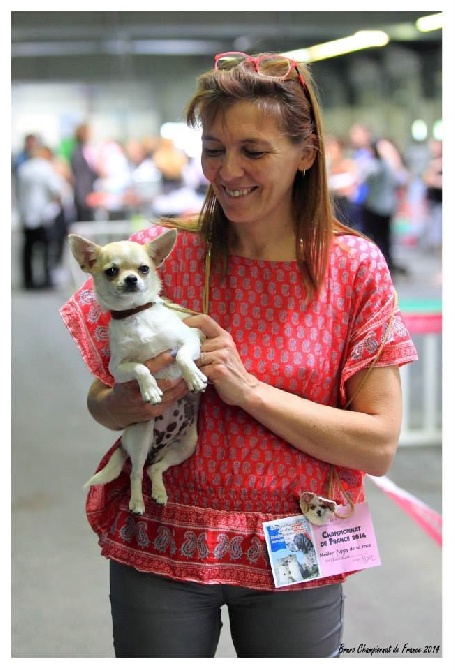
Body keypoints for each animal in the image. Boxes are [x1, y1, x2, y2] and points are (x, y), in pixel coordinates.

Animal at [69, 230, 208, 516]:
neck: (137, 316)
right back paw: (137, 502)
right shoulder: (118, 370)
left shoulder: (191, 339)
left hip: (186, 446)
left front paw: (193, 377)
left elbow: (183, 355)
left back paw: (159, 492)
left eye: (144, 269)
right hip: (143, 434)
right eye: (111, 271)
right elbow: (141, 367)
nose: (132, 278)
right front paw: (151, 389)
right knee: (136, 471)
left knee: (155, 468)